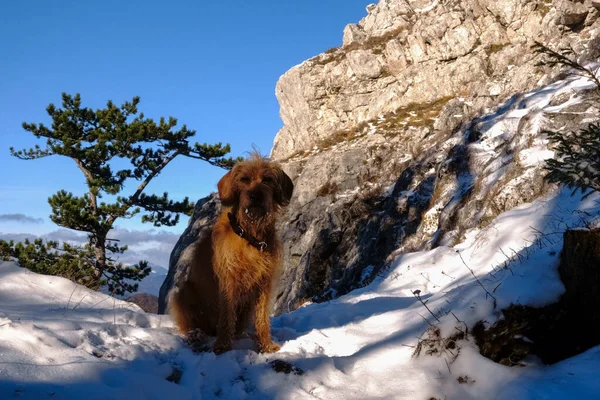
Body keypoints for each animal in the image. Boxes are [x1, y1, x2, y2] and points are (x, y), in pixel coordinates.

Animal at [169, 152, 292, 354]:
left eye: (267, 180)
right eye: (244, 179)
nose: (255, 195)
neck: (250, 236)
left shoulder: (264, 283)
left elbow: (262, 317)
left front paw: (266, 345)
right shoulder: (229, 280)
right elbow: (227, 316)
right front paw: (223, 347)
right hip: (183, 293)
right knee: (191, 325)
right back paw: (197, 335)